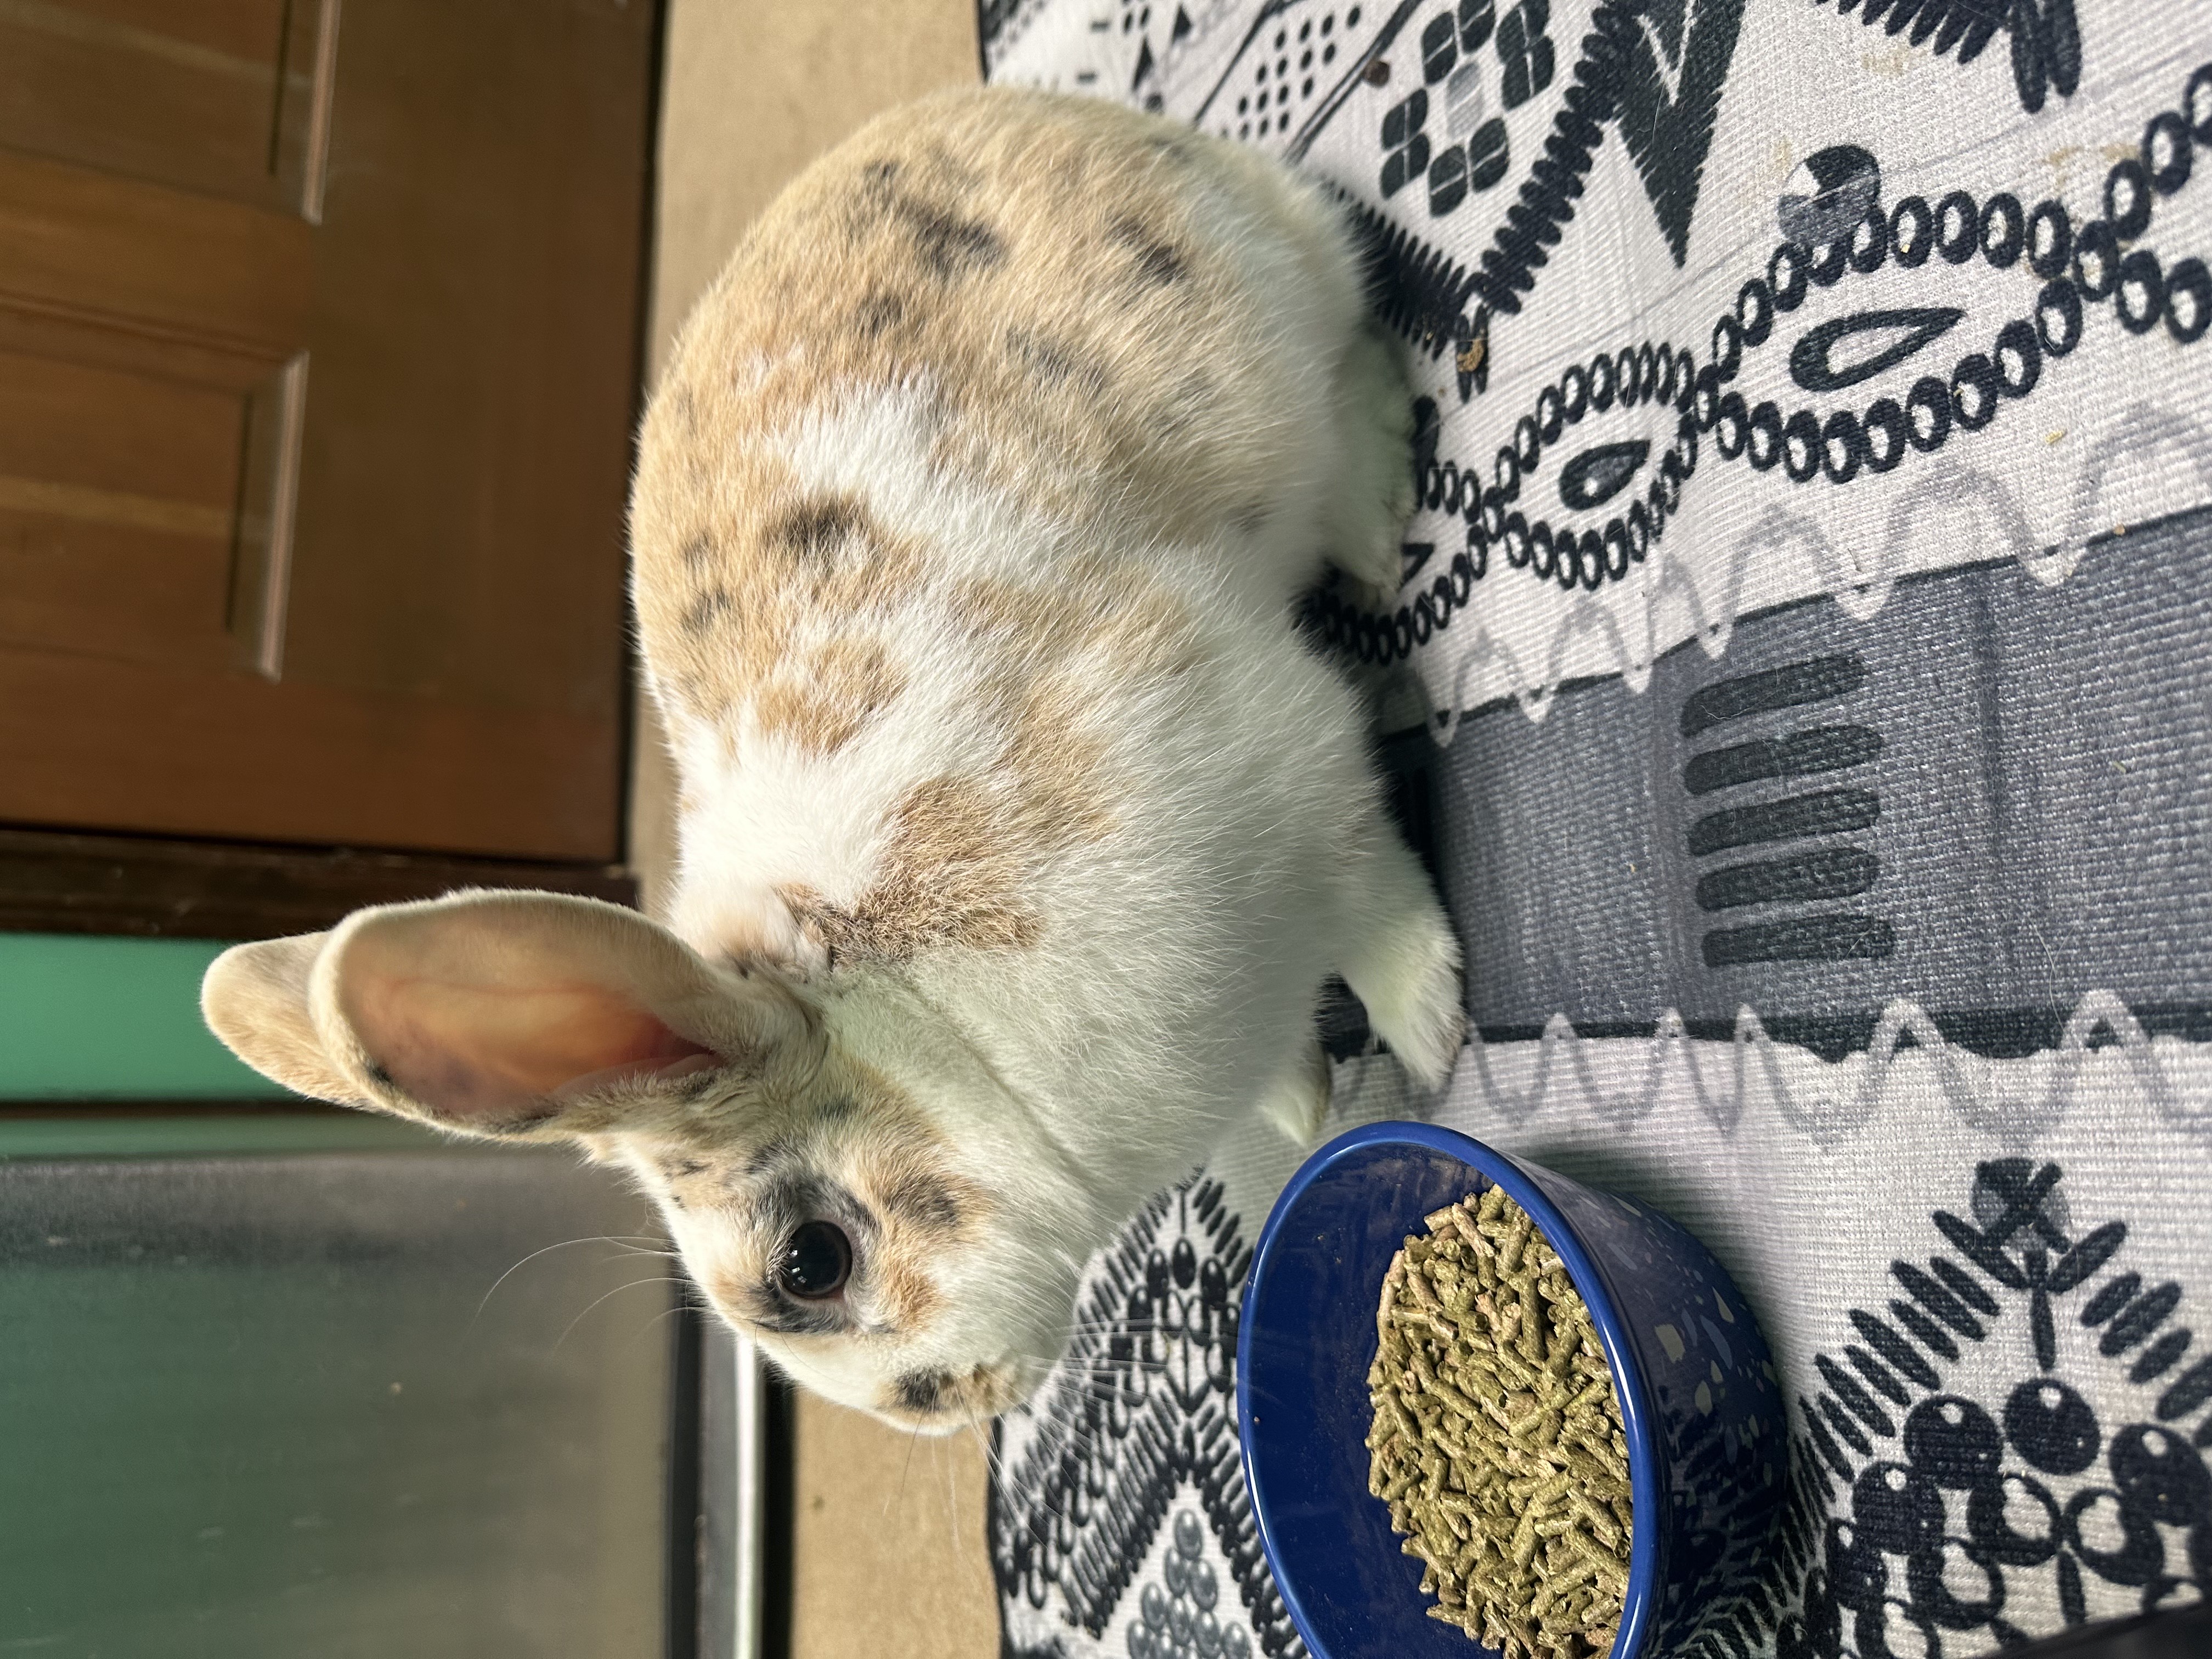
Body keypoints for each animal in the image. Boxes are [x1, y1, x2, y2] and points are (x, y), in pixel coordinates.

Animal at [200, 85, 1464, 1432]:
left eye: (813, 1262)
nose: (943, 1409)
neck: (936, 1022)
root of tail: (1002, 107)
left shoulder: (1278, 756)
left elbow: (1375, 898)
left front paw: (1433, 1029)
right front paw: (1302, 1098)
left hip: (1284, 310)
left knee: (1354, 367)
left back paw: (1375, 526)